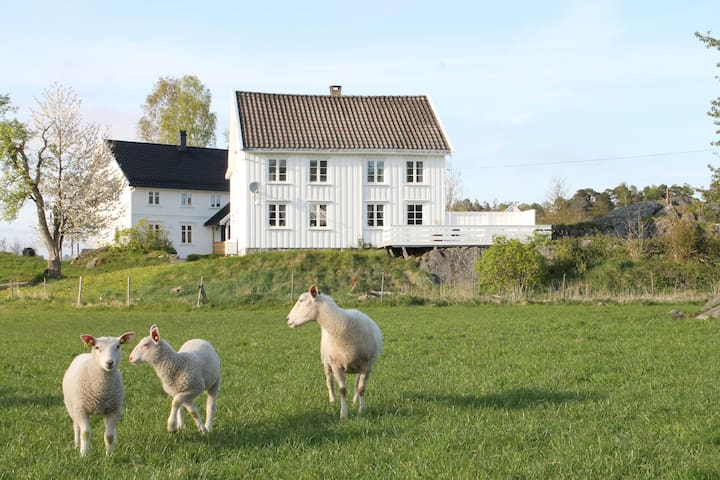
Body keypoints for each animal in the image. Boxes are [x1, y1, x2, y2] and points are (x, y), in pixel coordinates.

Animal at [286, 284, 382, 416]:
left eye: (301, 300)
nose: (287, 319)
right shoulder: (336, 365)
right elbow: (342, 390)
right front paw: (344, 414)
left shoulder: (367, 365)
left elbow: (361, 388)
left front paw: (361, 411)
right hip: (326, 362)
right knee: (329, 381)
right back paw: (332, 401)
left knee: (356, 383)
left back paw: (354, 401)